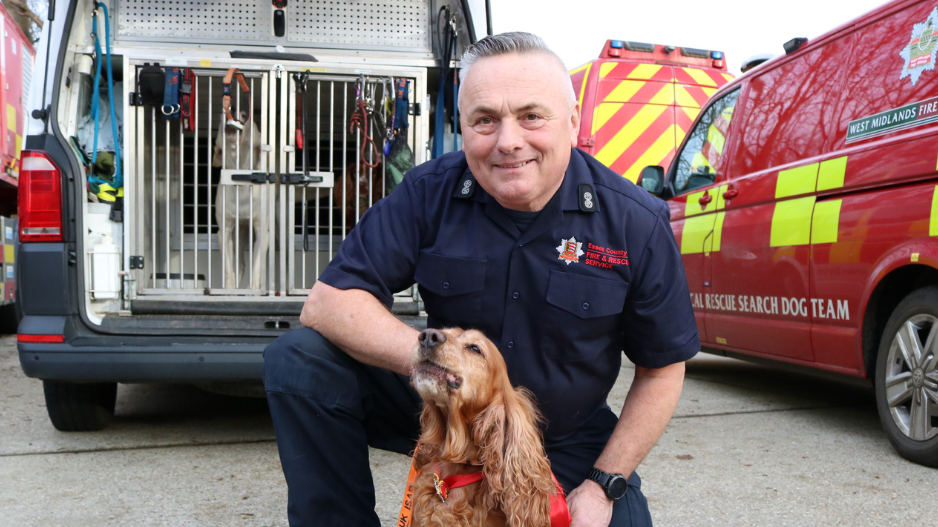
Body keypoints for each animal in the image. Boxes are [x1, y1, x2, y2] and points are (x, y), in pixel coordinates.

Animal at [212, 116, 266, 292]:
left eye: (251, 121)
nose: (237, 112)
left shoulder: (262, 231)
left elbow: (257, 266)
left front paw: (254, 290)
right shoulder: (225, 231)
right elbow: (229, 267)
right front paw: (229, 290)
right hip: (239, 235)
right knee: (240, 264)